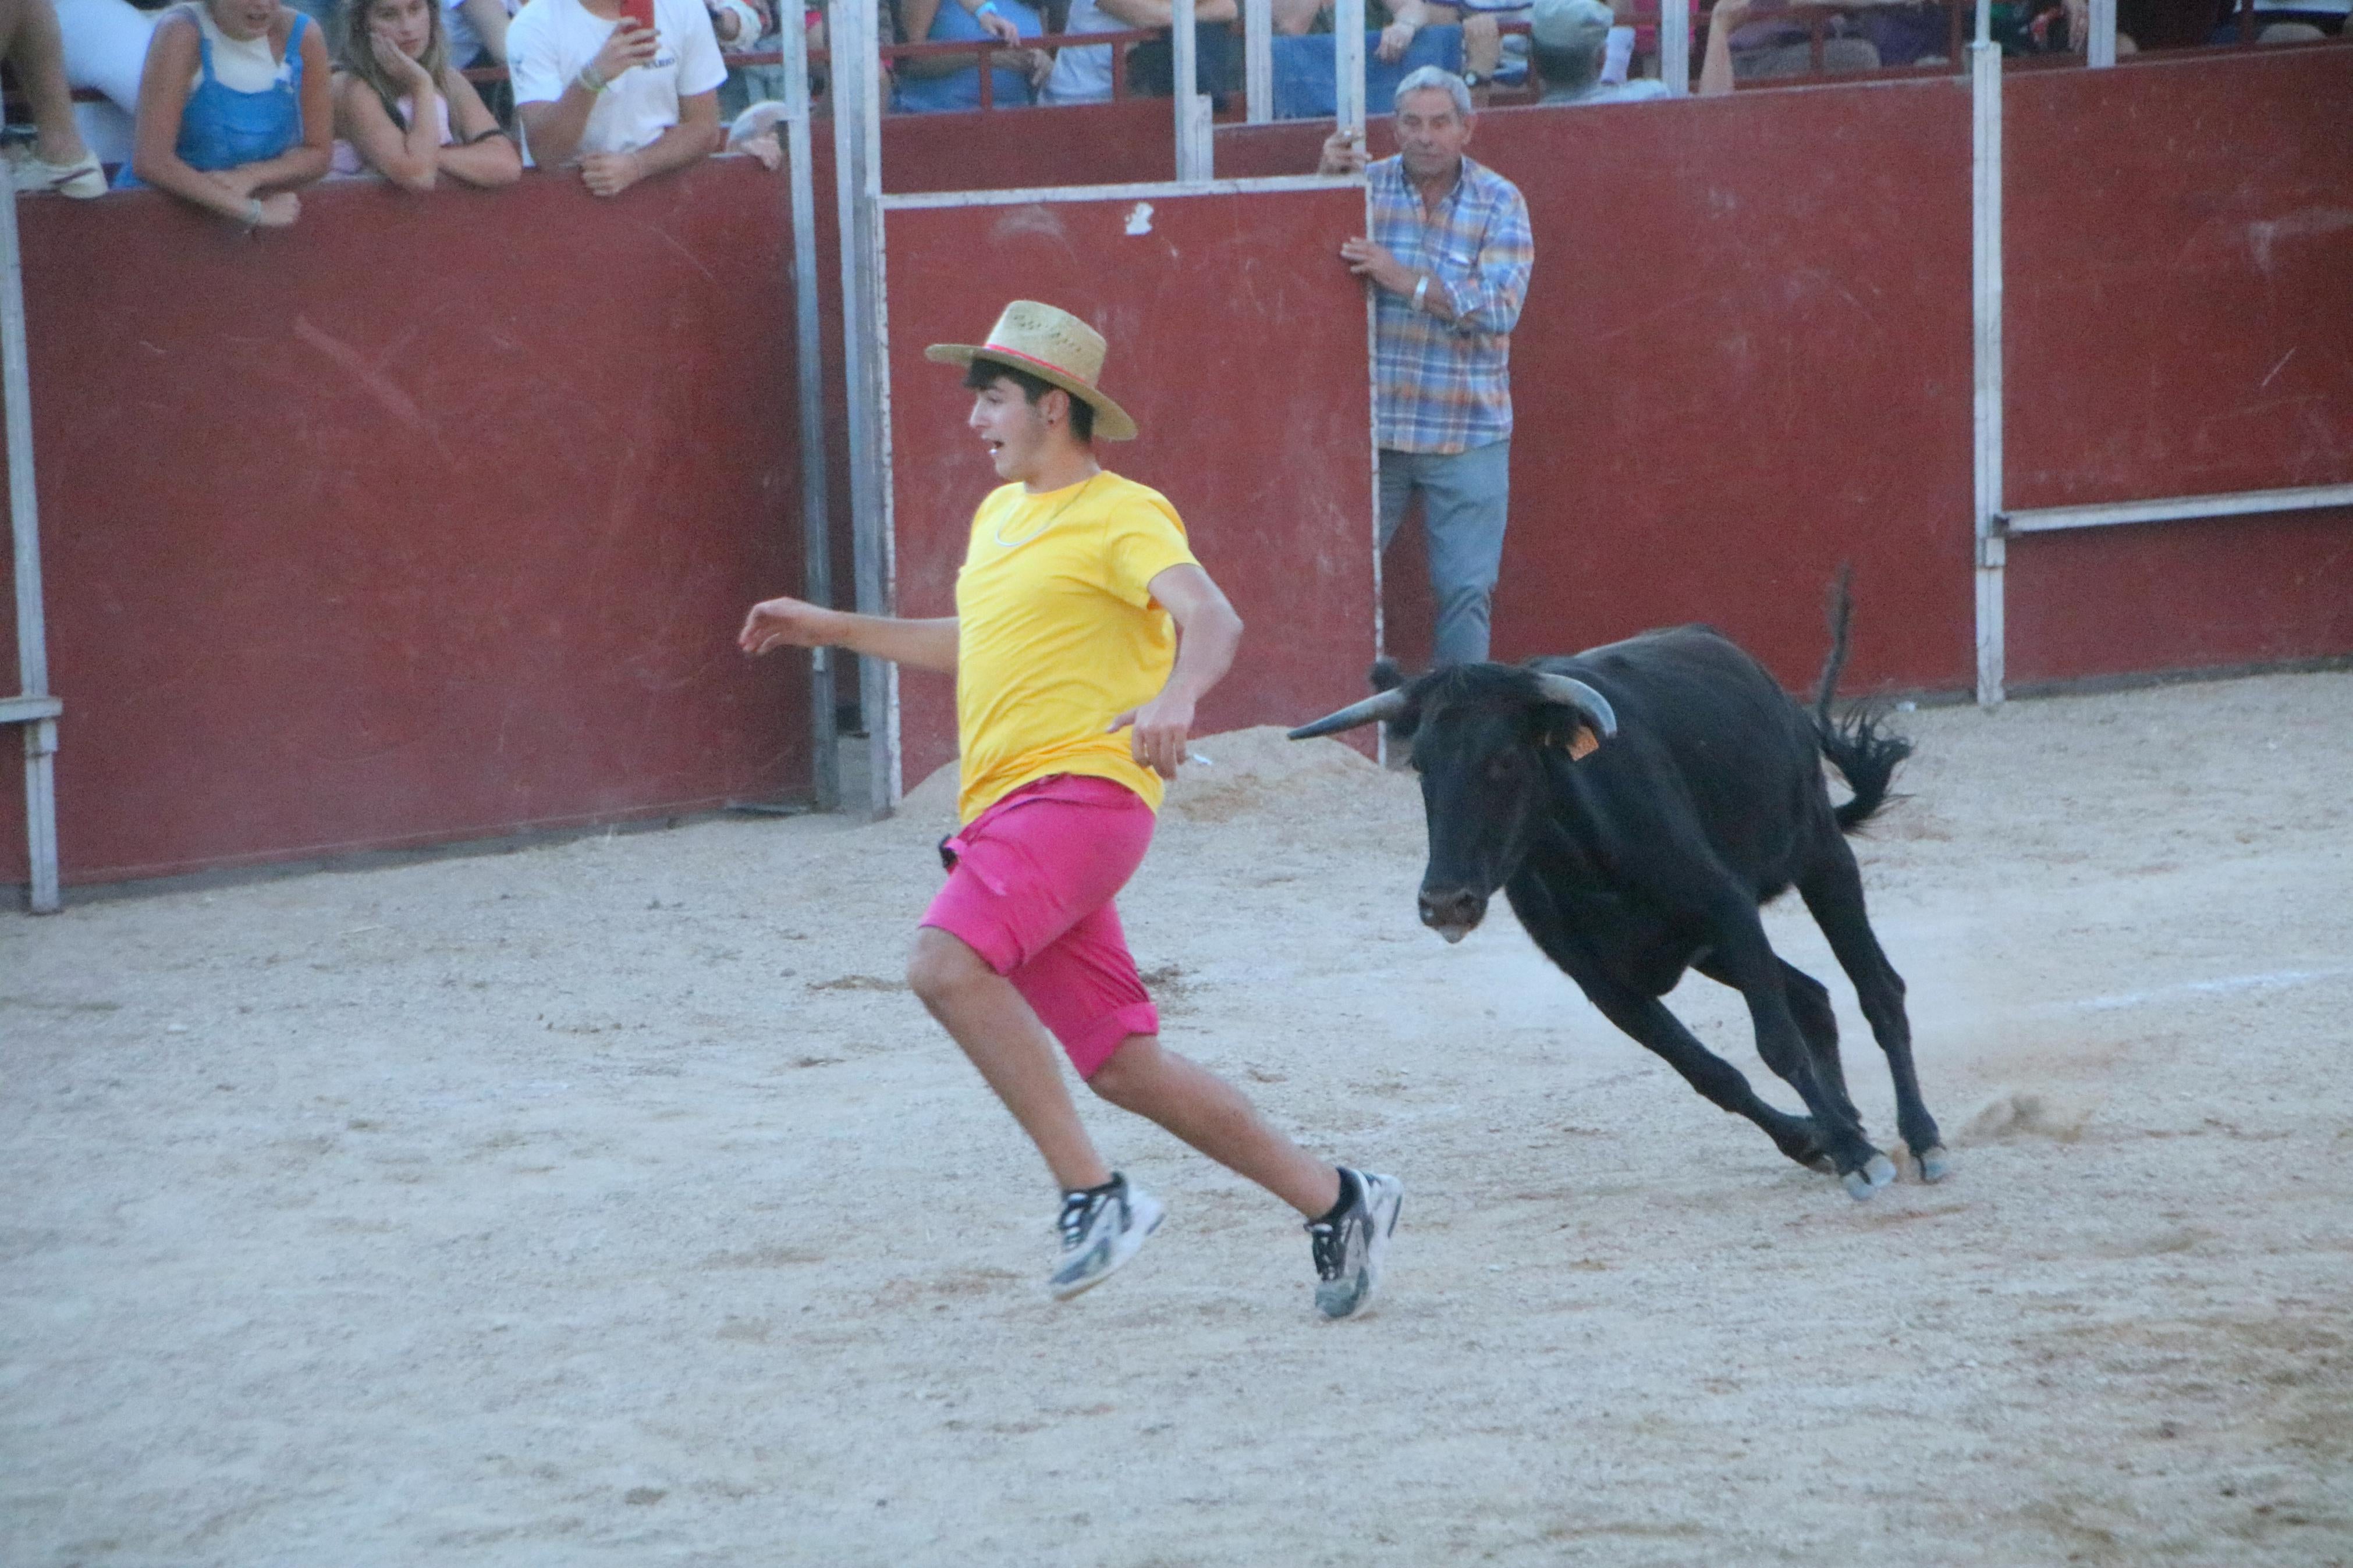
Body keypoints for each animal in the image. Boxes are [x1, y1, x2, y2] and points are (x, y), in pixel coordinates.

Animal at [1289, 602, 1948, 1203]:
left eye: (1504, 759)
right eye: (1421, 765)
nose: (1445, 902)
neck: (1581, 859)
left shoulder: (1729, 910)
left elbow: (1776, 1044)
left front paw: (1855, 1156)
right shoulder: (1605, 982)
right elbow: (1711, 1074)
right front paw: (1818, 1141)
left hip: (1821, 854)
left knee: (1877, 989)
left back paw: (1922, 1139)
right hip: (1712, 949)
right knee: (1812, 997)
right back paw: (1853, 1123)